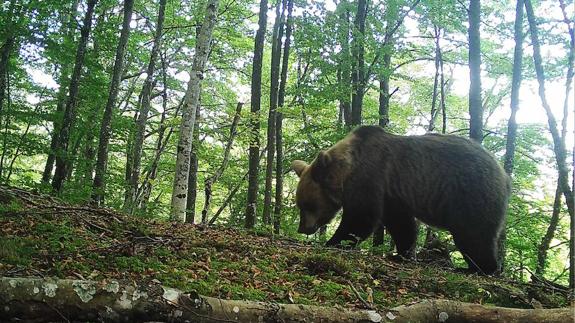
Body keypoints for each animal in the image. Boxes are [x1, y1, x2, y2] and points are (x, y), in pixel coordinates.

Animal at [294, 125, 510, 274]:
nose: (303, 228)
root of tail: (504, 173)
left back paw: (480, 268)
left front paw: (332, 242)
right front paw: (403, 254)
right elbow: (401, 225)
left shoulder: (370, 177)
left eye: (307, 204)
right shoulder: (393, 194)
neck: (346, 171)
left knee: (474, 233)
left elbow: (360, 219)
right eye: (300, 204)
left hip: (471, 192)